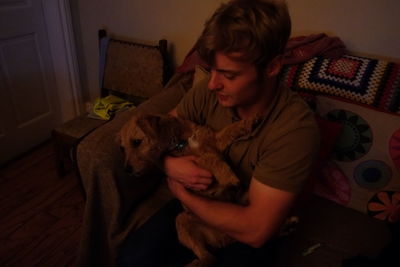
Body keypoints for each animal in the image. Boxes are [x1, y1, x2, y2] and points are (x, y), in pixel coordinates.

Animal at [117, 113, 258, 267]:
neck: (179, 139)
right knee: (208, 257)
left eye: (136, 142)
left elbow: (229, 130)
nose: (126, 170)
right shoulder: (192, 165)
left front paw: (249, 121)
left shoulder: (214, 140)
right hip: (182, 221)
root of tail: (225, 238)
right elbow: (209, 158)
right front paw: (229, 177)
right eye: (122, 148)